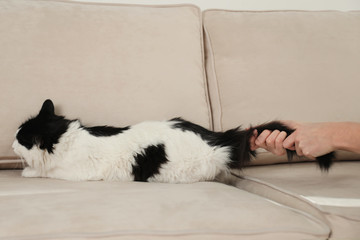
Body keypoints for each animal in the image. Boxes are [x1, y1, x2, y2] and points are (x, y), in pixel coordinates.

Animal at [11, 99, 334, 184]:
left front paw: (27, 170)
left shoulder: (73, 172)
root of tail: (216, 136)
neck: (65, 138)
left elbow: (43, 171)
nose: (11, 146)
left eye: (20, 138)